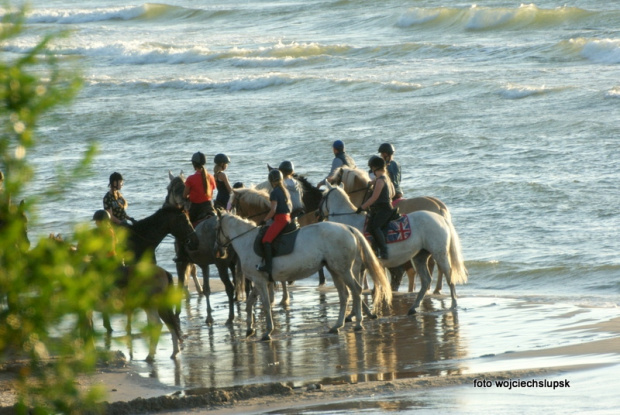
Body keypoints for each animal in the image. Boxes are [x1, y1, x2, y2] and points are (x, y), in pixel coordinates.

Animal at [216, 213, 390, 340]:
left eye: (215, 228)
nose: (219, 251)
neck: (246, 241)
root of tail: (347, 228)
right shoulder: (259, 282)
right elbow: (250, 302)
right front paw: (249, 329)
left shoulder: (260, 281)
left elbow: (265, 304)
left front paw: (267, 332)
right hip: (335, 270)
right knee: (344, 295)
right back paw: (337, 326)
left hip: (343, 270)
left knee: (356, 290)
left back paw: (358, 323)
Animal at [322, 184, 468, 314]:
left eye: (322, 195)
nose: (319, 214)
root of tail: (441, 218)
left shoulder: (356, 265)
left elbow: (356, 287)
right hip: (420, 256)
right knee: (426, 280)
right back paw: (414, 307)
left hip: (440, 254)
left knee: (448, 275)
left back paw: (453, 303)